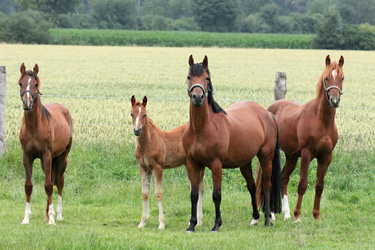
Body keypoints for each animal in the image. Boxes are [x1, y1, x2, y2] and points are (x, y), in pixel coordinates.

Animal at [18, 63, 72, 225]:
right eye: (20, 83)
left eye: (36, 84)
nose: (27, 103)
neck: (34, 127)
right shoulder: (27, 156)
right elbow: (28, 186)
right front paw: (26, 218)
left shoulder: (47, 155)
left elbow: (48, 186)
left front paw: (52, 221)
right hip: (46, 161)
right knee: (52, 180)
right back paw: (47, 214)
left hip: (61, 158)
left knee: (58, 182)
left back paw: (57, 215)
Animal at [131, 94, 204, 229]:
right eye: (132, 114)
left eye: (144, 114)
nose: (137, 130)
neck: (148, 143)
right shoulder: (143, 168)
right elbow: (145, 193)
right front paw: (142, 222)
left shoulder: (157, 167)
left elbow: (158, 194)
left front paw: (161, 224)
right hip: (188, 165)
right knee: (195, 187)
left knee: (200, 188)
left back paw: (199, 221)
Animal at [182, 55, 282, 232]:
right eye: (189, 77)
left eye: (206, 78)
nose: (198, 97)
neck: (200, 129)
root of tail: (267, 114)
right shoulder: (193, 164)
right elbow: (194, 195)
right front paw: (192, 225)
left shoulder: (216, 165)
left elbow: (216, 195)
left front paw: (216, 224)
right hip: (245, 162)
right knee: (252, 186)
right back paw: (255, 218)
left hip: (266, 157)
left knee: (266, 186)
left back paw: (267, 220)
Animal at [266, 55, 346, 222]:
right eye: (326, 78)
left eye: (342, 78)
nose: (334, 101)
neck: (322, 120)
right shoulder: (306, 154)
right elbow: (302, 184)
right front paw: (298, 216)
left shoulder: (326, 157)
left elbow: (319, 186)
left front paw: (316, 216)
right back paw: (272, 214)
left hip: (291, 156)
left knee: (283, 178)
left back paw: (286, 213)